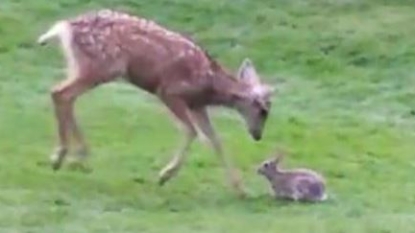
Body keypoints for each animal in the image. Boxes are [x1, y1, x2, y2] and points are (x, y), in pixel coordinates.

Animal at [36, 8, 276, 197]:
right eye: (263, 110)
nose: (258, 135)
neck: (209, 83)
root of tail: (65, 27)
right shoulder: (169, 91)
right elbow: (191, 131)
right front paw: (165, 175)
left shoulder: (197, 105)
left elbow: (215, 139)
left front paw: (240, 189)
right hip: (102, 66)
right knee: (60, 93)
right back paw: (62, 157)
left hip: (84, 66)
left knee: (65, 96)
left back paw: (78, 156)